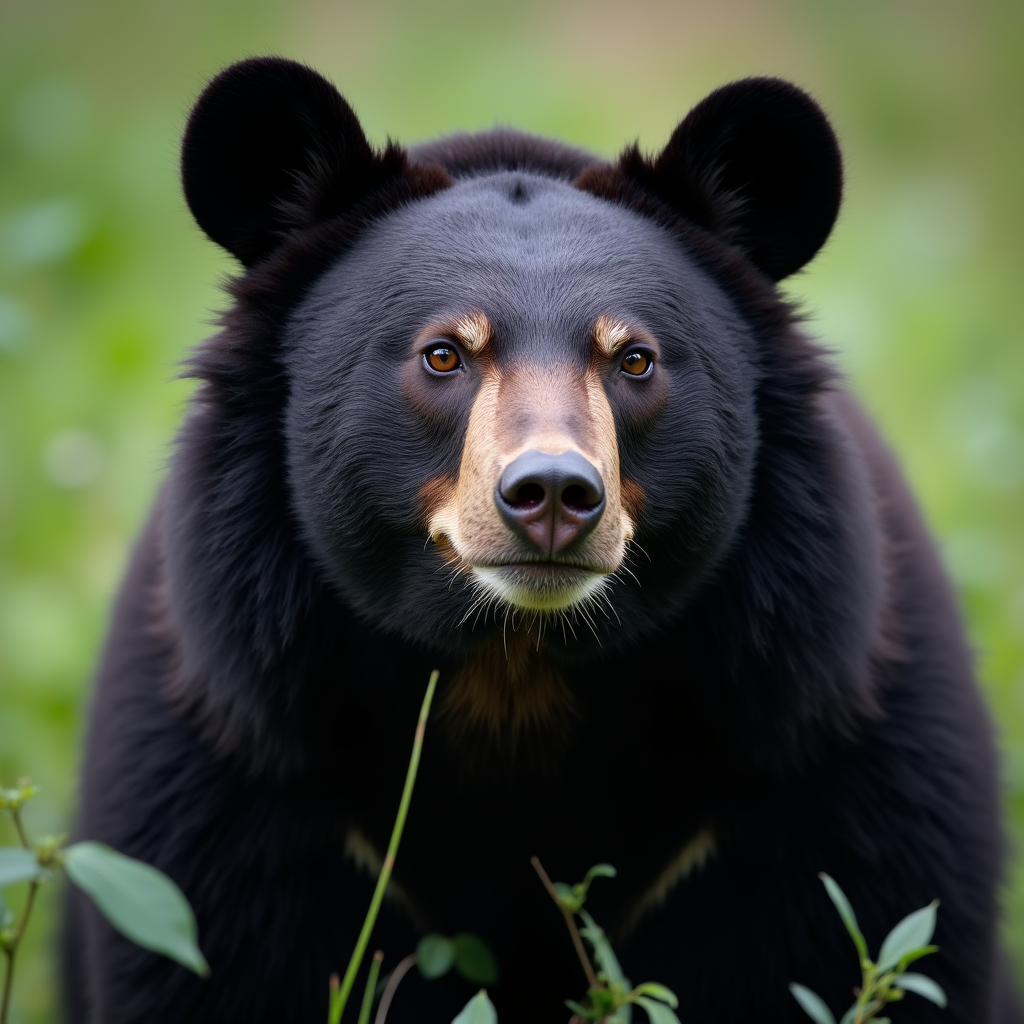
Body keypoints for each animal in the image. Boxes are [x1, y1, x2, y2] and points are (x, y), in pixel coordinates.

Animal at [61, 56, 1020, 1023]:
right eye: (443, 354)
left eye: (634, 359)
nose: (553, 494)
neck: (516, 670)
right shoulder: (237, 760)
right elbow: (221, 958)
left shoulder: (816, 750)